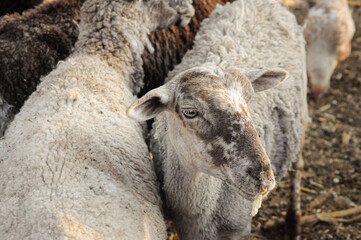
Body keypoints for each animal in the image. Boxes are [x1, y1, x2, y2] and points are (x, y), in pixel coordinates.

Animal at [127, 0, 306, 238]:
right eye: (190, 112)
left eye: (249, 99)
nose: (262, 177)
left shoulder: (239, 228)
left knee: (298, 166)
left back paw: (293, 221)